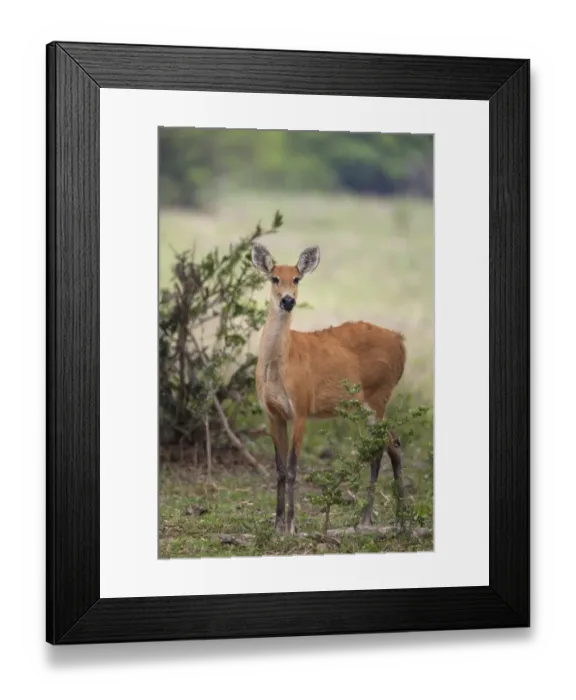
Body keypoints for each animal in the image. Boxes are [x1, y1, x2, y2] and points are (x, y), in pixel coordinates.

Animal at [250, 242, 407, 535]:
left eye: (297, 279)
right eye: (274, 278)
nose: (288, 300)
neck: (279, 367)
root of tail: (402, 342)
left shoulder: (301, 407)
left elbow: (292, 468)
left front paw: (292, 526)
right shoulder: (273, 413)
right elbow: (279, 469)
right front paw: (277, 525)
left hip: (378, 395)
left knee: (384, 446)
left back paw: (385, 520)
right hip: (369, 404)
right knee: (390, 444)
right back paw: (388, 520)